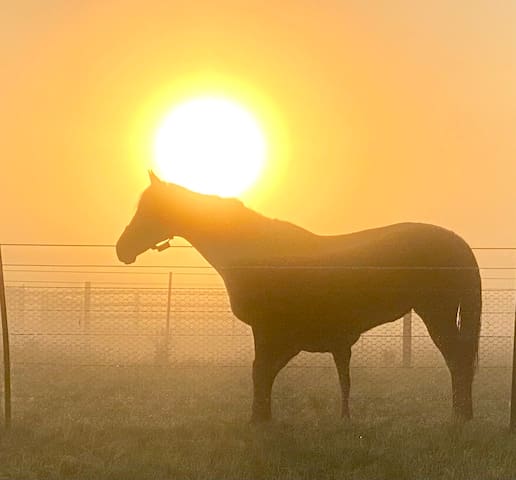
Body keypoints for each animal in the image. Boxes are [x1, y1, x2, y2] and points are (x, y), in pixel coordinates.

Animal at [116, 174, 480, 422]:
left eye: (150, 209)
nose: (122, 249)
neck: (255, 250)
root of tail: (457, 242)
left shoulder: (269, 331)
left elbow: (261, 372)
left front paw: (259, 420)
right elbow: (269, 372)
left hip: (437, 314)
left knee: (458, 359)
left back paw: (459, 417)